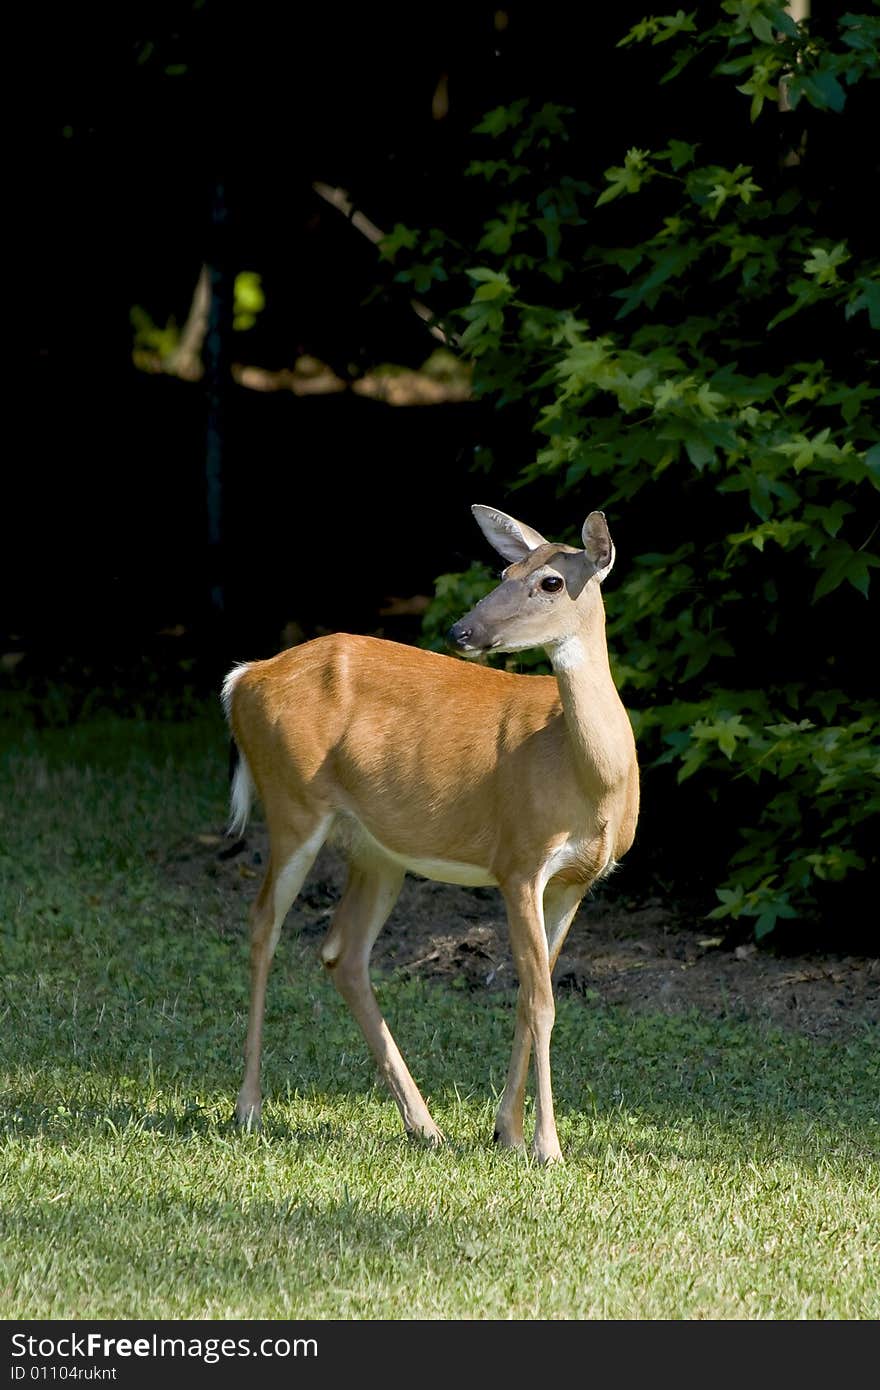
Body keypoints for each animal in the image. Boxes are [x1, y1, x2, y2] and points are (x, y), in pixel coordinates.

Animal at [222, 503, 633, 1162]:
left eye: (550, 581)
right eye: (504, 569)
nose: (463, 631)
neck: (588, 776)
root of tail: (243, 677)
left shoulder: (575, 881)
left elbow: (529, 995)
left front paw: (507, 1132)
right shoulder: (518, 861)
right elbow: (541, 1001)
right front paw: (547, 1146)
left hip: (378, 850)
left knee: (343, 951)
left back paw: (424, 1123)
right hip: (292, 803)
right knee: (264, 925)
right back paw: (249, 1107)